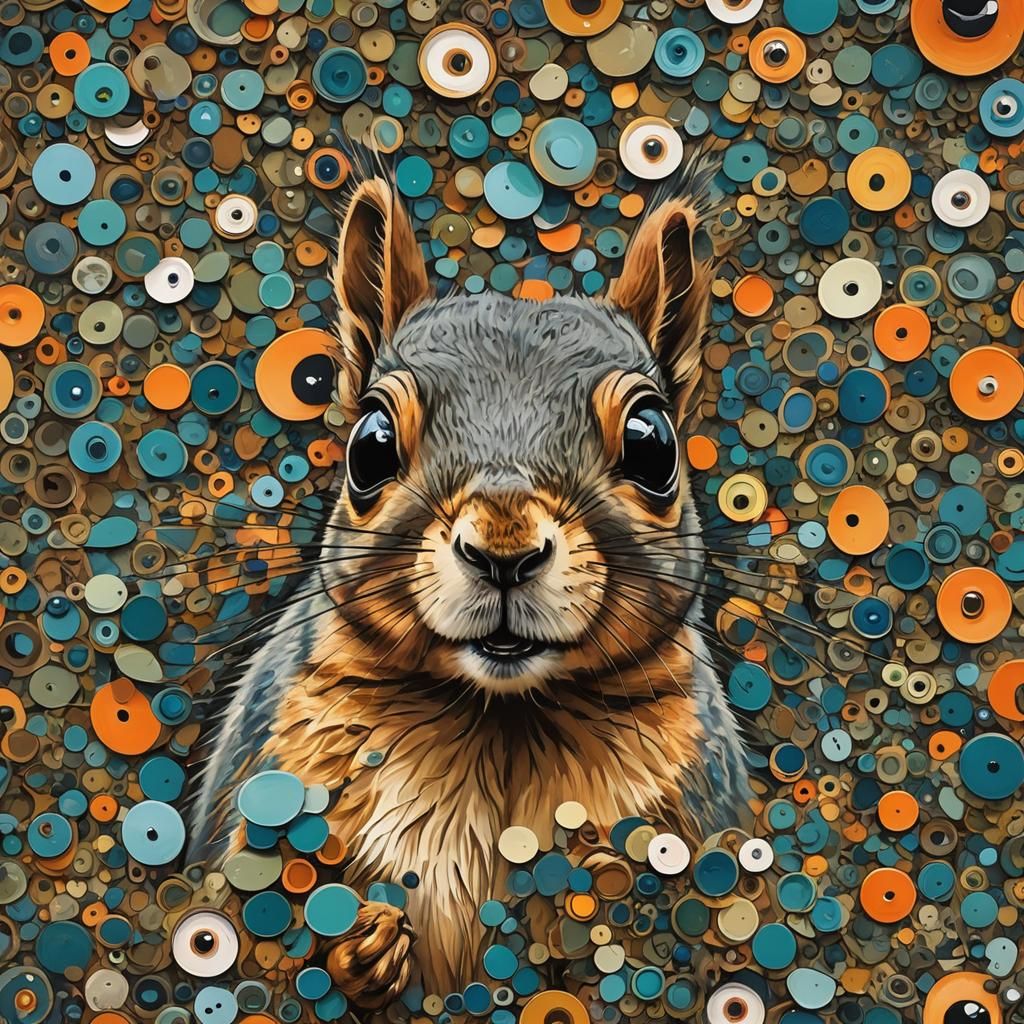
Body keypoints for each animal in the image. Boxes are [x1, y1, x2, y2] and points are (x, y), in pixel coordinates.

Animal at [187, 159, 752, 1007]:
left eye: (654, 443)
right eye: (369, 444)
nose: (504, 549)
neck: (497, 721)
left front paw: (604, 899)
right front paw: (361, 946)